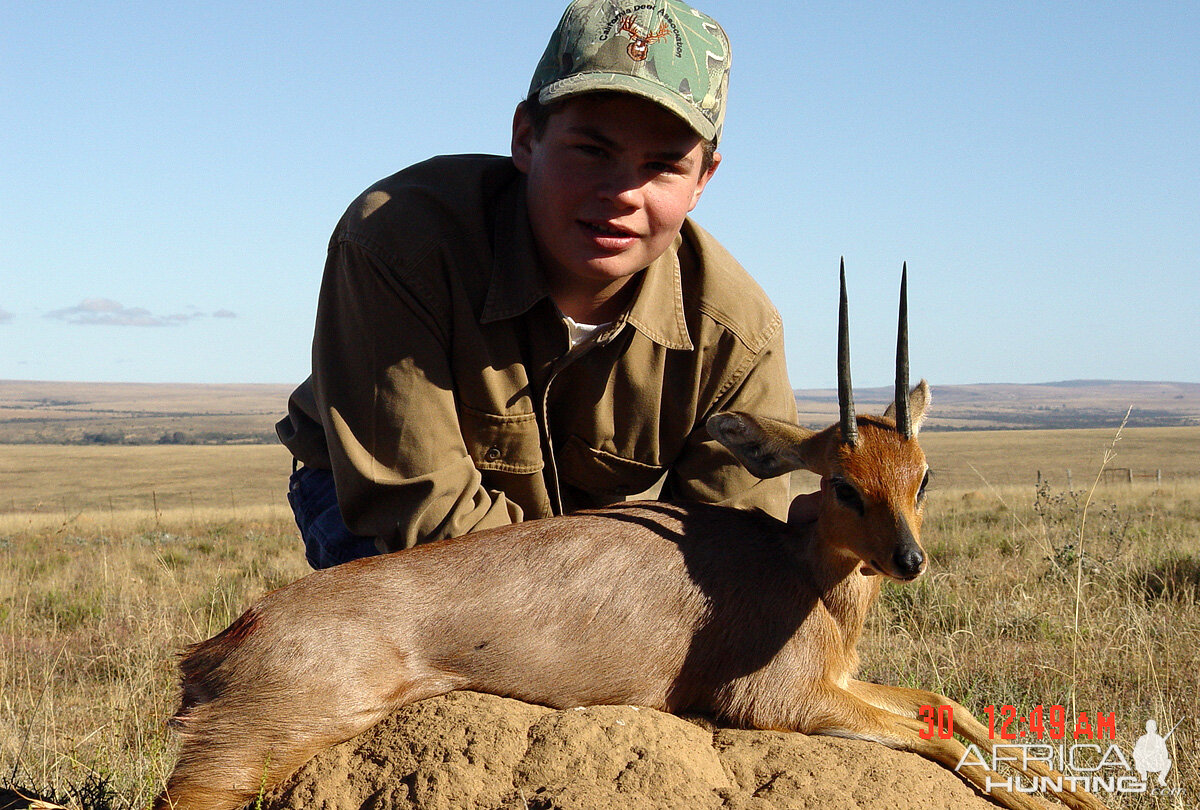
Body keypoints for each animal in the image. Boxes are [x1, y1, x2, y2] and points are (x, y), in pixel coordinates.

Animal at [152, 267, 1104, 810]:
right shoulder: (778, 703)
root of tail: (219, 644)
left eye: (922, 475)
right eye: (843, 481)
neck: (798, 572)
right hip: (243, 760)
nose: (909, 560)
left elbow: (952, 707)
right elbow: (941, 739)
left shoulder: (844, 681)